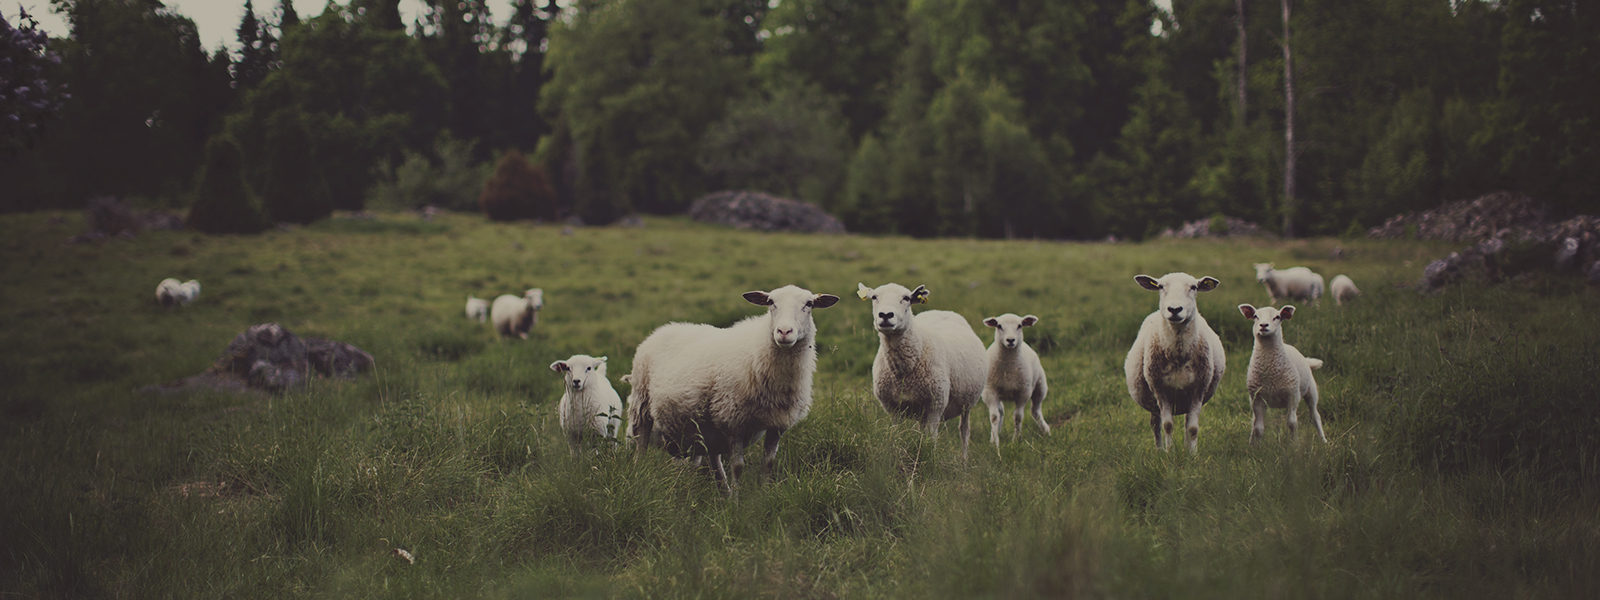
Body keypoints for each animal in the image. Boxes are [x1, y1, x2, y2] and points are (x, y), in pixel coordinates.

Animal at [627, 285, 840, 490]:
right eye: (770, 302)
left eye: (809, 304)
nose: (784, 332)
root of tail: (664, 329)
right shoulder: (733, 421)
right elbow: (738, 467)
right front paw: (737, 501)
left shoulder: (777, 425)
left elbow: (768, 464)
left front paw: (764, 494)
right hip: (642, 402)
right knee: (641, 444)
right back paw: (638, 474)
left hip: (707, 427)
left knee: (713, 459)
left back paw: (722, 492)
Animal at [857, 282, 988, 459]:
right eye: (874, 297)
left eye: (906, 298)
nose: (885, 315)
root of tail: (942, 311)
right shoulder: (893, 408)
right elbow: (897, 435)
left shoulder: (935, 405)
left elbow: (931, 440)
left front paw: (930, 459)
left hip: (966, 403)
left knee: (964, 432)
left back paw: (964, 461)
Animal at [980, 313, 1050, 448]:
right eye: (999, 326)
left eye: (1019, 325)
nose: (1010, 340)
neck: (1008, 369)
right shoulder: (990, 391)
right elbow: (994, 417)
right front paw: (994, 442)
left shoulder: (1023, 392)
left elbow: (1017, 417)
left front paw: (1016, 440)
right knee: (1001, 411)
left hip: (1040, 387)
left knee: (1035, 410)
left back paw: (1045, 430)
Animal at [1124, 273, 1225, 453]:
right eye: (1160, 286)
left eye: (1194, 287)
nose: (1174, 309)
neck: (1179, 355)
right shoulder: (1159, 389)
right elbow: (1168, 425)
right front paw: (1170, 453)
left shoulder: (1199, 388)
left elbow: (1192, 428)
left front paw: (1192, 454)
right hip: (1154, 401)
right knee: (1155, 425)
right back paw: (1159, 451)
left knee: (1186, 423)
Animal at [1237, 304, 1327, 444]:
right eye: (1256, 316)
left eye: (1277, 317)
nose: (1263, 325)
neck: (1270, 370)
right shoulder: (1258, 399)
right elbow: (1258, 427)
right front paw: (1256, 447)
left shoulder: (1292, 396)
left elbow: (1292, 423)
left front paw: (1294, 444)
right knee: (1254, 421)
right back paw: (1250, 443)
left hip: (1311, 392)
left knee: (1315, 416)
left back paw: (1324, 441)